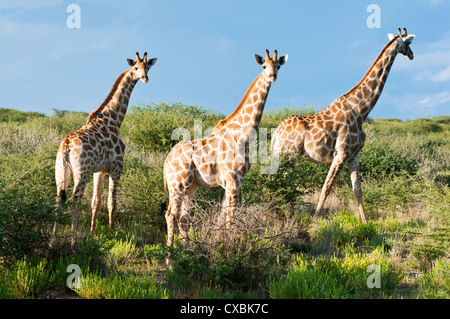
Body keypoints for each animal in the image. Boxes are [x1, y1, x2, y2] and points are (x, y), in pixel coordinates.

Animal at [52, 52, 157, 248]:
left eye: (148, 67)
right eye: (136, 67)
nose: (145, 78)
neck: (114, 119)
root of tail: (66, 144)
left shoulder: (99, 170)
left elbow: (96, 201)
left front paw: (93, 234)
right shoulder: (116, 168)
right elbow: (112, 202)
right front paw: (112, 233)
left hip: (61, 171)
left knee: (58, 200)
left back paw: (52, 241)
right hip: (81, 171)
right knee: (75, 200)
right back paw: (73, 241)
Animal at [162, 50, 288, 250]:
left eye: (278, 66)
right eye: (263, 66)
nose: (272, 76)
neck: (243, 135)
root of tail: (166, 161)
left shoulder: (232, 182)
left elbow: (224, 217)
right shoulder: (233, 180)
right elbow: (231, 219)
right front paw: (230, 246)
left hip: (192, 187)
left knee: (183, 218)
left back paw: (186, 250)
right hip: (178, 184)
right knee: (171, 215)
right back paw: (170, 253)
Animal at [270, 27, 414, 224]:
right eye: (409, 42)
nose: (412, 55)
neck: (361, 110)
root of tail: (277, 131)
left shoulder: (354, 155)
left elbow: (357, 190)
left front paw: (365, 222)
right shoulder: (341, 153)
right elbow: (327, 187)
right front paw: (315, 221)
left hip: (286, 155)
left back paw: (284, 213)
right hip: (288, 154)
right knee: (282, 180)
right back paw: (284, 214)